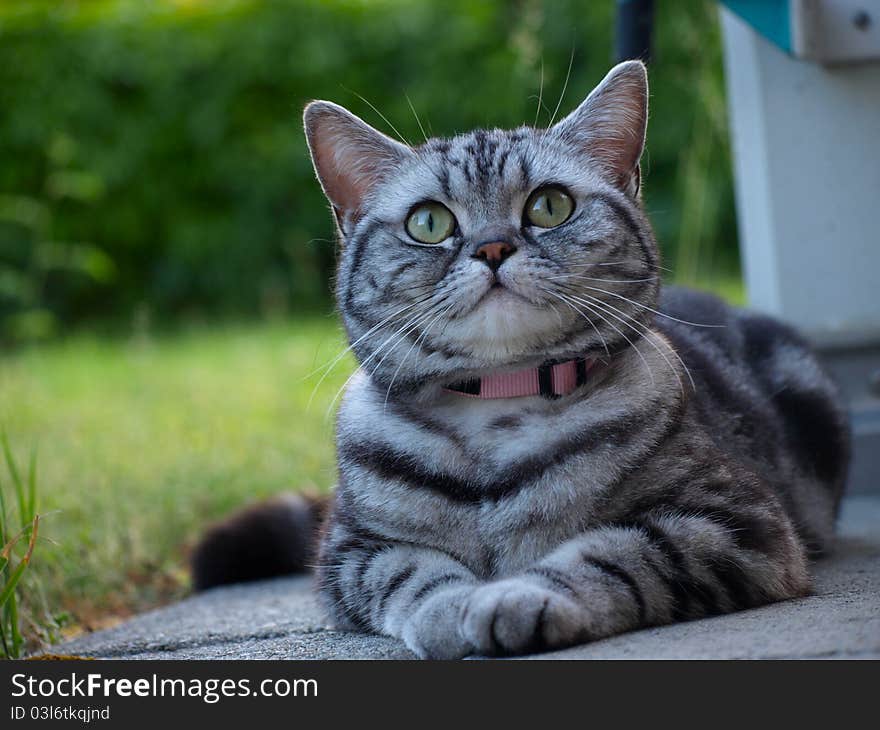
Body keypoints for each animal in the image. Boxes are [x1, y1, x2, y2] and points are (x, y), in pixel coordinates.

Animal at [194, 59, 852, 656]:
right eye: (428, 221)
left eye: (550, 206)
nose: (492, 247)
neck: (500, 403)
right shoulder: (349, 553)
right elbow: (411, 573)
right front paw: (451, 609)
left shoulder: (734, 523)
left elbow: (615, 552)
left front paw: (517, 597)